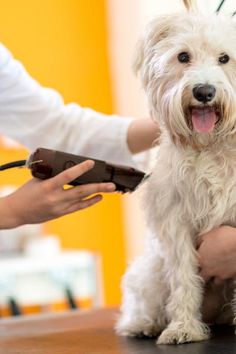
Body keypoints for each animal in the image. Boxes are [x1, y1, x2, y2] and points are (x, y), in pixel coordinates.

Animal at [115, 4, 236, 344]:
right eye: (183, 57)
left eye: (225, 58)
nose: (204, 91)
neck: (211, 146)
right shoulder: (175, 221)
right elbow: (183, 279)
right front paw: (183, 327)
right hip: (151, 270)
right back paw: (143, 324)